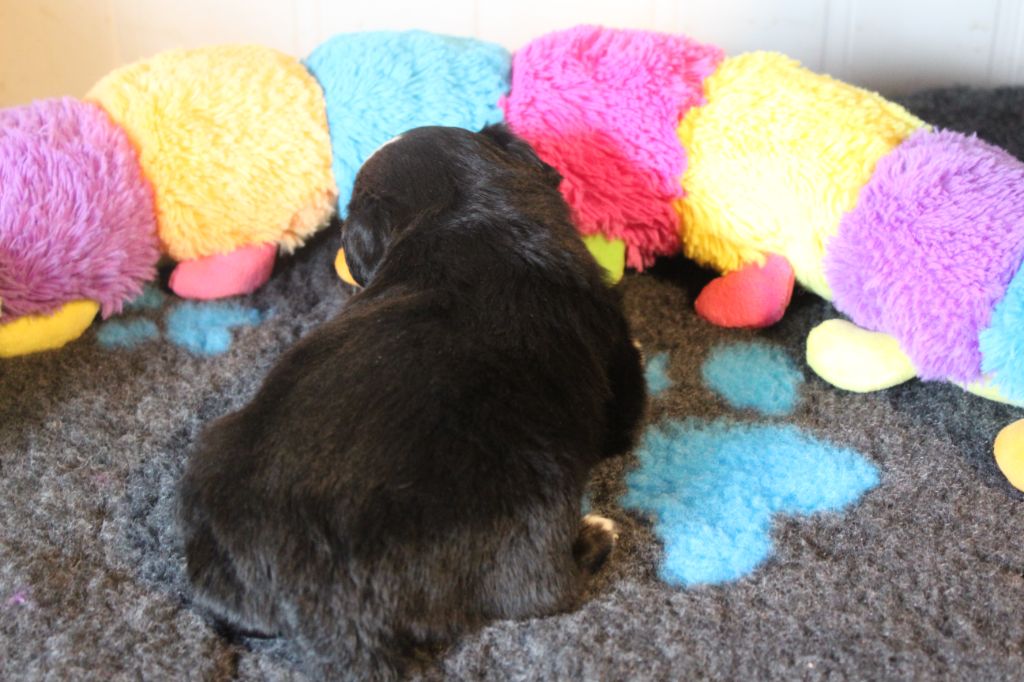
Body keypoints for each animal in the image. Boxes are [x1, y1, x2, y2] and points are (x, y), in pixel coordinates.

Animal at [177, 124, 647, 680]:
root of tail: (323, 606)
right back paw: (597, 532)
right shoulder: (614, 369)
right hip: (530, 505)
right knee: (545, 591)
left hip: (213, 460)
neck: (467, 212)